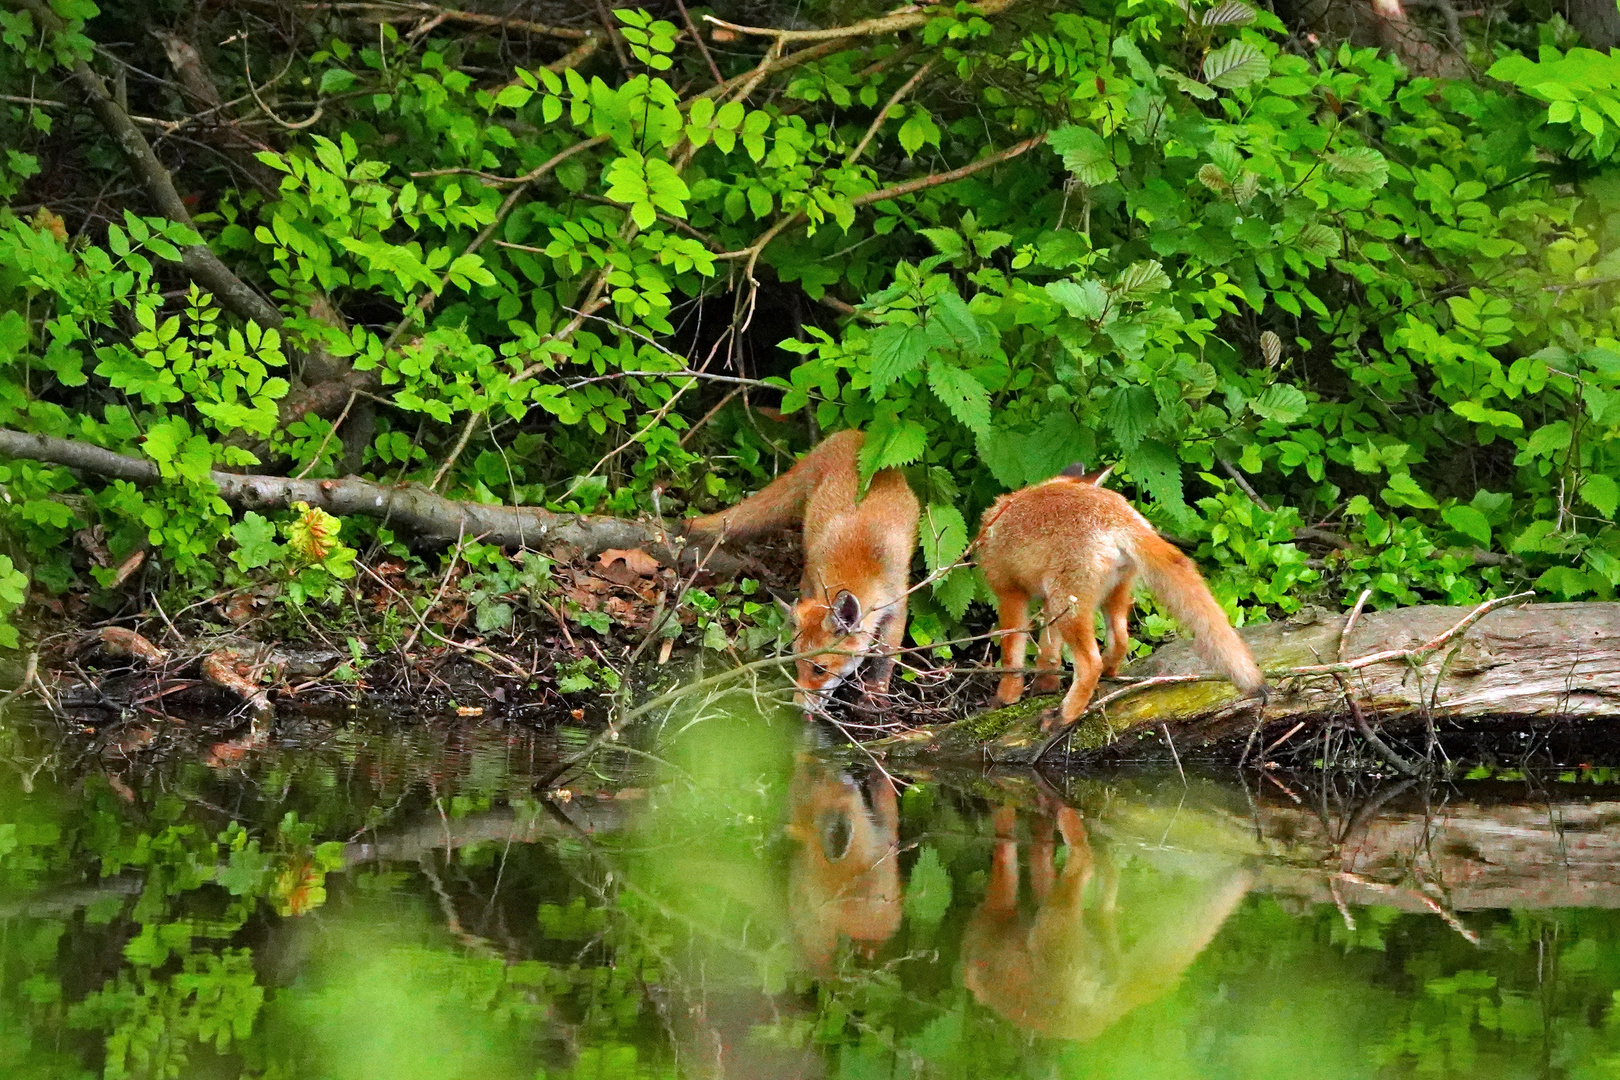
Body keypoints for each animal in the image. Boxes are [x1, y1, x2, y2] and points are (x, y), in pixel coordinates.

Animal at [677, 430, 920, 709]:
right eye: (795, 664)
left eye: (819, 669)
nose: (797, 706)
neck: (861, 562)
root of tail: (852, 433)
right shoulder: (812, 577)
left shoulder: (897, 604)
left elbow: (885, 657)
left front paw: (875, 692)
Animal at [972, 466, 1263, 735]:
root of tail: (1116, 513)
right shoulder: (1046, 600)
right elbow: (1050, 653)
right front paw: (1045, 689)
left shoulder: (1008, 591)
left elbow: (1011, 656)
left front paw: (1005, 698)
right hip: (1105, 595)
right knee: (1120, 641)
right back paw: (1109, 676)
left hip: (1070, 606)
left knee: (1091, 663)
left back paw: (1064, 716)